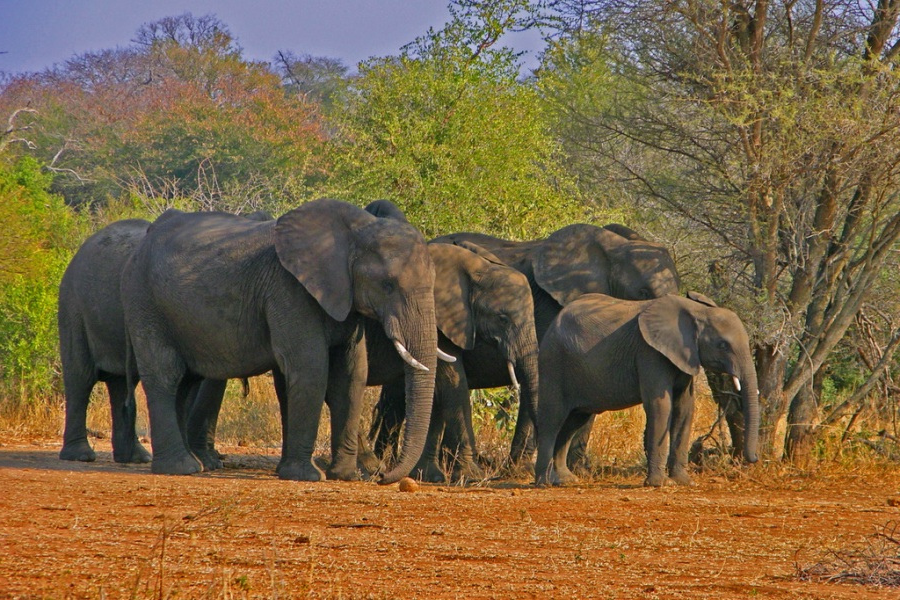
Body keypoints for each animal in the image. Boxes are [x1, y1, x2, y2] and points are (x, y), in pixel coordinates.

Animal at [120, 198, 440, 482]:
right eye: (387, 285)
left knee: (185, 381)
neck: (356, 229)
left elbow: (352, 375)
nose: (383, 476)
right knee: (166, 374)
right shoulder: (288, 289)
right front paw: (307, 476)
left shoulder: (345, 300)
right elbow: (310, 368)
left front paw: (345, 476)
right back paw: (182, 468)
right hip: (144, 301)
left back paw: (192, 464)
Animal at [536, 292, 760, 486]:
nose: (755, 458)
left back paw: (565, 480)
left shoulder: (685, 357)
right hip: (553, 362)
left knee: (574, 421)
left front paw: (684, 482)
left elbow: (685, 409)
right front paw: (660, 484)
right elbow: (660, 406)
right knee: (552, 419)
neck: (697, 311)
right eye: (723, 345)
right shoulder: (650, 353)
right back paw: (544, 483)